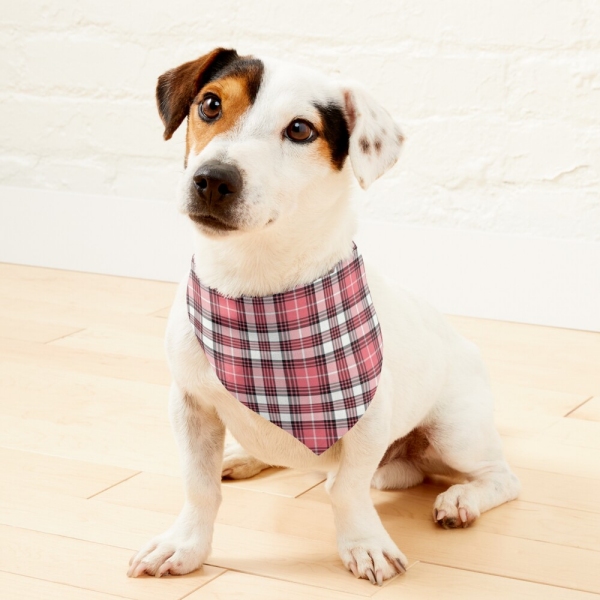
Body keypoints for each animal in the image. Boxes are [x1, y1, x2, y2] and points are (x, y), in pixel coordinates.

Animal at [127, 48, 520, 584]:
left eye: (299, 130)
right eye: (210, 104)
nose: (212, 179)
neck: (257, 288)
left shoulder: (368, 419)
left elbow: (347, 490)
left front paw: (365, 544)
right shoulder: (190, 405)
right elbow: (199, 486)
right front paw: (185, 545)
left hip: (456, 432)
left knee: (500, 477)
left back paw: (462, 499)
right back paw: (244, 456)